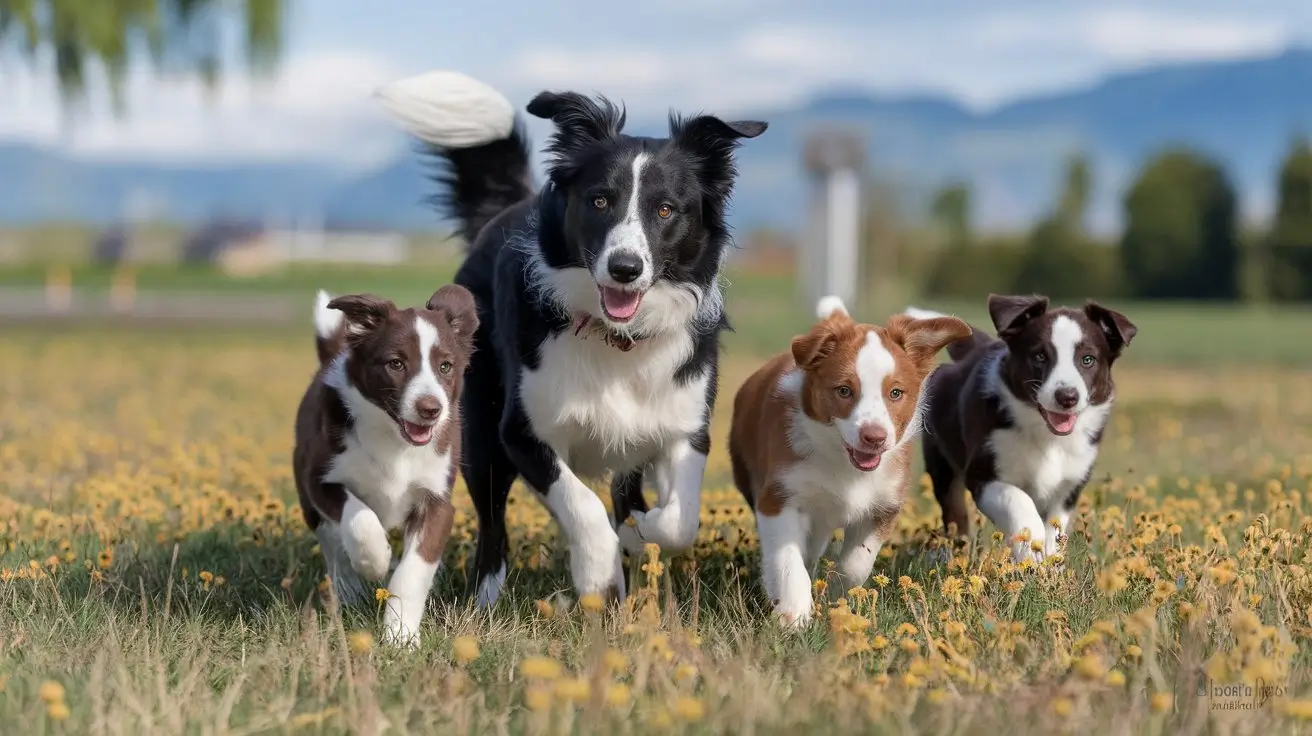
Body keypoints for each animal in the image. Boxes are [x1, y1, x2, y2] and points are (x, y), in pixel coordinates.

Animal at [295, 284, 480, 645]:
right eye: (396, 363)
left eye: (446, 366)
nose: (430, 409)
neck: (394, 441)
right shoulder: (319, 480)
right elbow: (359, 518)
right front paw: (375, 561)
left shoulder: (437, 500)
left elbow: (413, 571)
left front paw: (401, 637)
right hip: (308, 499)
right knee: (332, 544)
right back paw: (350, 590)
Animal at [729, 293, 976, 624]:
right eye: (844, 390)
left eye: (895, 393)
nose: (874, 437)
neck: (843, 464)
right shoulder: (778, 497)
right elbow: (787, 558)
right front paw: (795, 615)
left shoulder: (883, 506)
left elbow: (857, 562)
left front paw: (836, 597)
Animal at [913, 292, 1138, 561]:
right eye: (1040, 356)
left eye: (1087, 360)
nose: (1067, 396)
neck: (1047, 436)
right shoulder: (982, 474)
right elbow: (1019, 501)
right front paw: (1031, 551)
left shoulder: (1069, 485)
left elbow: (1056, 529)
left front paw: (1049, 563)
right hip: (942, 465)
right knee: (955, 515)